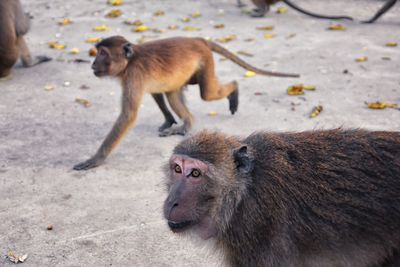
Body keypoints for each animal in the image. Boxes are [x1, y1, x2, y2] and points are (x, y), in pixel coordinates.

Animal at [72, 35, 300, 171]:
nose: (93, 63)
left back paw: (232, 91)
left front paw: (96, 159)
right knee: (174, 92)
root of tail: (198, 39)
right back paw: (185, 122)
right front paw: (169, 120)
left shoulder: (134, 75)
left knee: (207, 93)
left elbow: (129, 114)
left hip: (205, 60)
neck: (131, 60)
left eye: (103, 53)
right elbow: (158, 92)